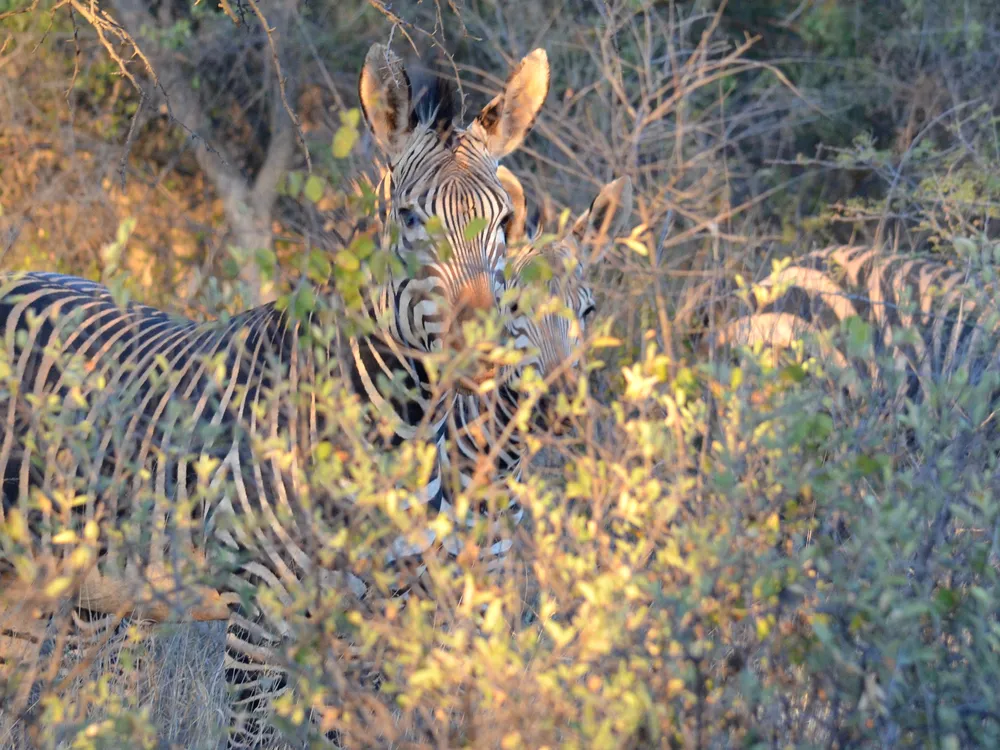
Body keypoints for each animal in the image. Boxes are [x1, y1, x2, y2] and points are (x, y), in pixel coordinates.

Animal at [0, 42, 552, 750]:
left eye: (505, 220)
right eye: (408, 218)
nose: (482, 354)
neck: (391, 434)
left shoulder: (375, 619)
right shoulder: (257, 622)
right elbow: (255, 733)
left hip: (52, 583)